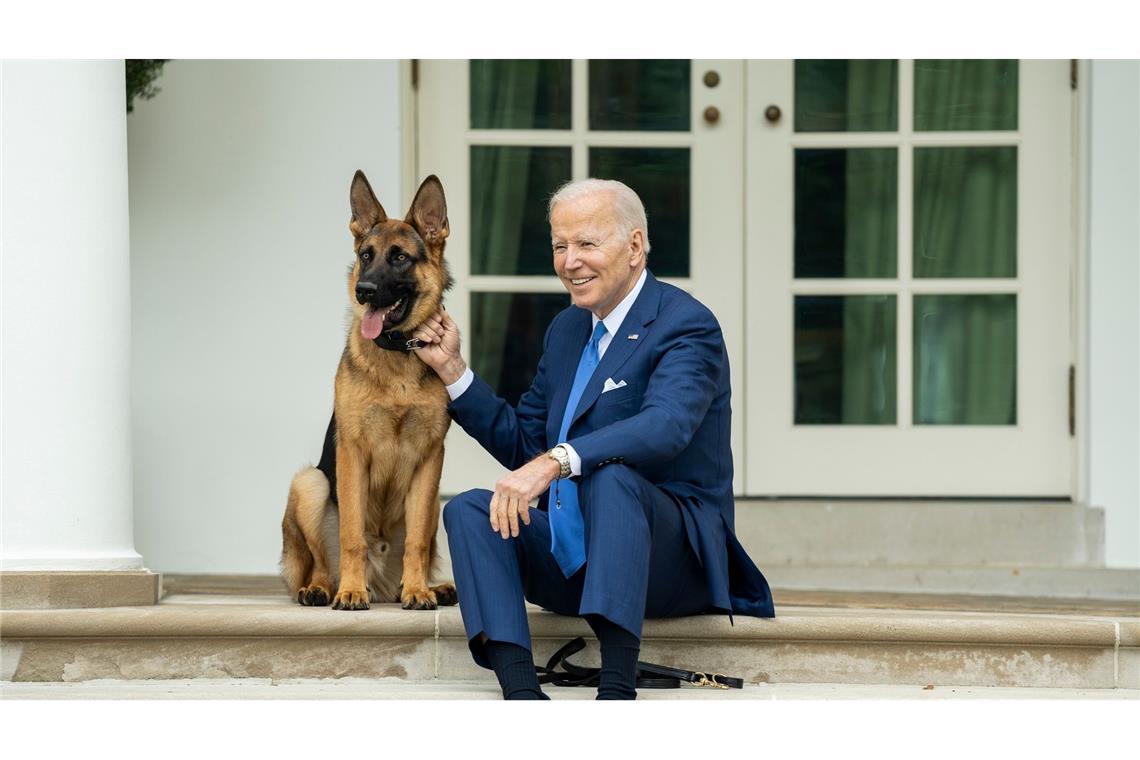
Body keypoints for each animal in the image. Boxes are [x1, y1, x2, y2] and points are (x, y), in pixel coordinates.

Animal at [280, 172, 458, 610]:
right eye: (365, 255)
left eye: (400, 258)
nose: (364, 290)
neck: (397, 353)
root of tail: (382, 584)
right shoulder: (352, 453)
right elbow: (352, 536)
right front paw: (350, 591)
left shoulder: (430, 458)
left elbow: (416, 542)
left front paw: (418, 591)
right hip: (310, 483)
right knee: (323, 562)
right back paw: (324, 588)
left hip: (435, 505)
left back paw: (428, 587)